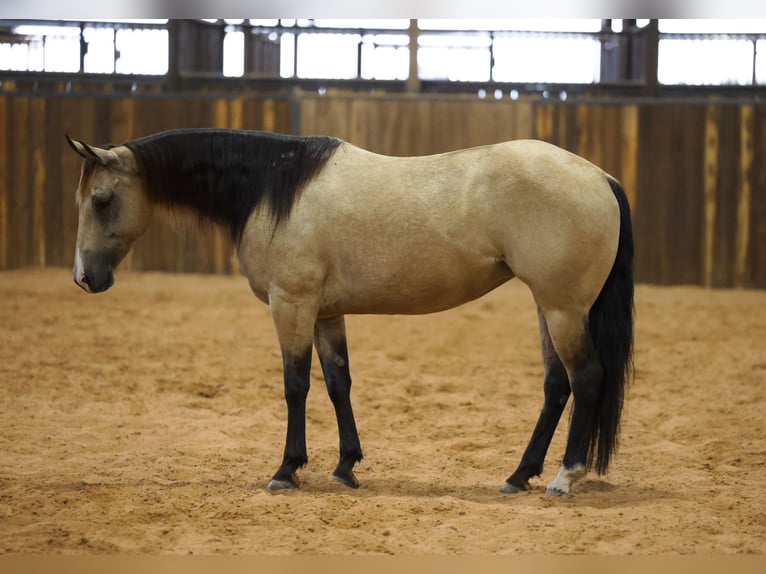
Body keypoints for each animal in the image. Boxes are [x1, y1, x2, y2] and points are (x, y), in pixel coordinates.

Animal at [66, 128, 633, 496]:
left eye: (101, 200)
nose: (84, 278)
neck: (274, 190)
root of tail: (601, 177)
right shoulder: (324, 313)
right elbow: (339, 383)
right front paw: (345, 467)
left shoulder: (291, 304)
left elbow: (295, 385)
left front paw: (287, 470)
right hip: (547, 307)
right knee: (556, 386)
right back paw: (519, 476)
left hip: (562, 309)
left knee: (585, 378)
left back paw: (564, 476)